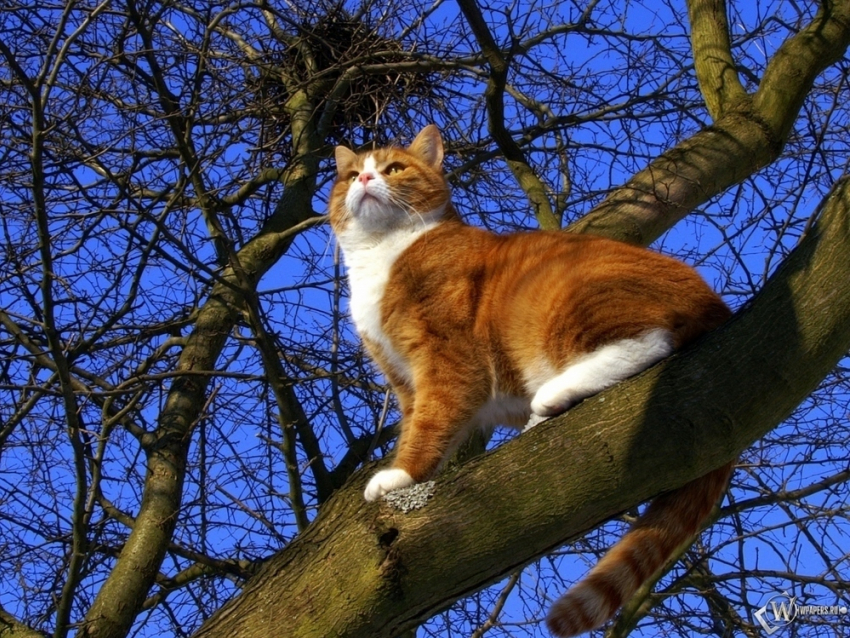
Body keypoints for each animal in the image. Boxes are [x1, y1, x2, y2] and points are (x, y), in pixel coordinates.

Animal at [328, 126, 732, 638]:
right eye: (349, 174)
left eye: (393, 169)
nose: (364, 178)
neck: (385, 256)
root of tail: (716, 304)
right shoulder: (404, 380)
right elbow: (422, 421)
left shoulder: (447, 358)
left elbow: (431, 422)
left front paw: (401, 474)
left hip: (570, 300)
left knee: (654, 340)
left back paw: (553, 395)